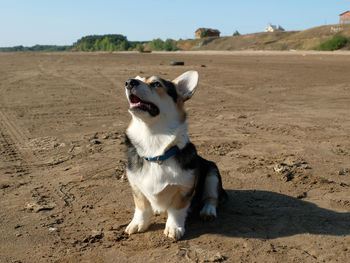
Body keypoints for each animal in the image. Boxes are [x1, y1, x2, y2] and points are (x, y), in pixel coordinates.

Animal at [124, 71, 226, 240]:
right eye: (137, 79)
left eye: (156, 84)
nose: (129, 82)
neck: (155, 150)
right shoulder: (136, 187)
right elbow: (142, 207)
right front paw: (138, 224)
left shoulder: (184, 189)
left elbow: (176, 210)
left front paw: (174, 227)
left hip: (212, 173)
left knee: (212, 198)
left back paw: (208, 211)